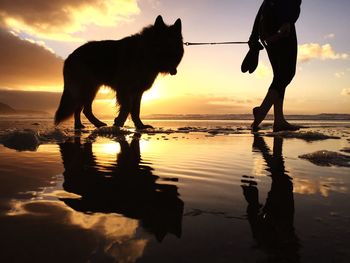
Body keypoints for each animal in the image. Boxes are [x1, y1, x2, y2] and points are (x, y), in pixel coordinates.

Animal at [54, 15, 183, 129]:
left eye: (175, 44)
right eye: (165, 43)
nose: (174, 70)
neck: (145, 53)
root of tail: (69, 57)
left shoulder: (137, 92)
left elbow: (136, 110)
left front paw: (140, 126)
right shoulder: (125, 89)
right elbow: (127, 107)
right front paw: (119, 123)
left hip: (89, 89)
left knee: (79, 108)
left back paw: (80, 125)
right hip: (88, 89)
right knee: (84, 109)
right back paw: (96, 124)